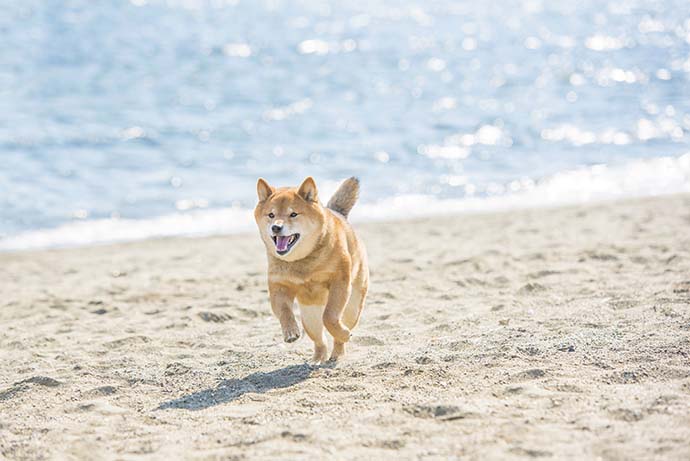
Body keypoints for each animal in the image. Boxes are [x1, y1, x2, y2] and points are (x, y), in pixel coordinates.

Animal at [253, 176, 368, 362]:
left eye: (293, 214)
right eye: (271, 215)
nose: (276, 227)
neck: (302, 261)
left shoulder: (339, 282)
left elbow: (329, 317)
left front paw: (343, 334)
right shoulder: (279, 286)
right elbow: (284, 311)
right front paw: (290, 331)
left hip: (353, 306)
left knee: (338, 327)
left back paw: (338, 351)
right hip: (310, 316)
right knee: (319, 340)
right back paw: (318, 358)